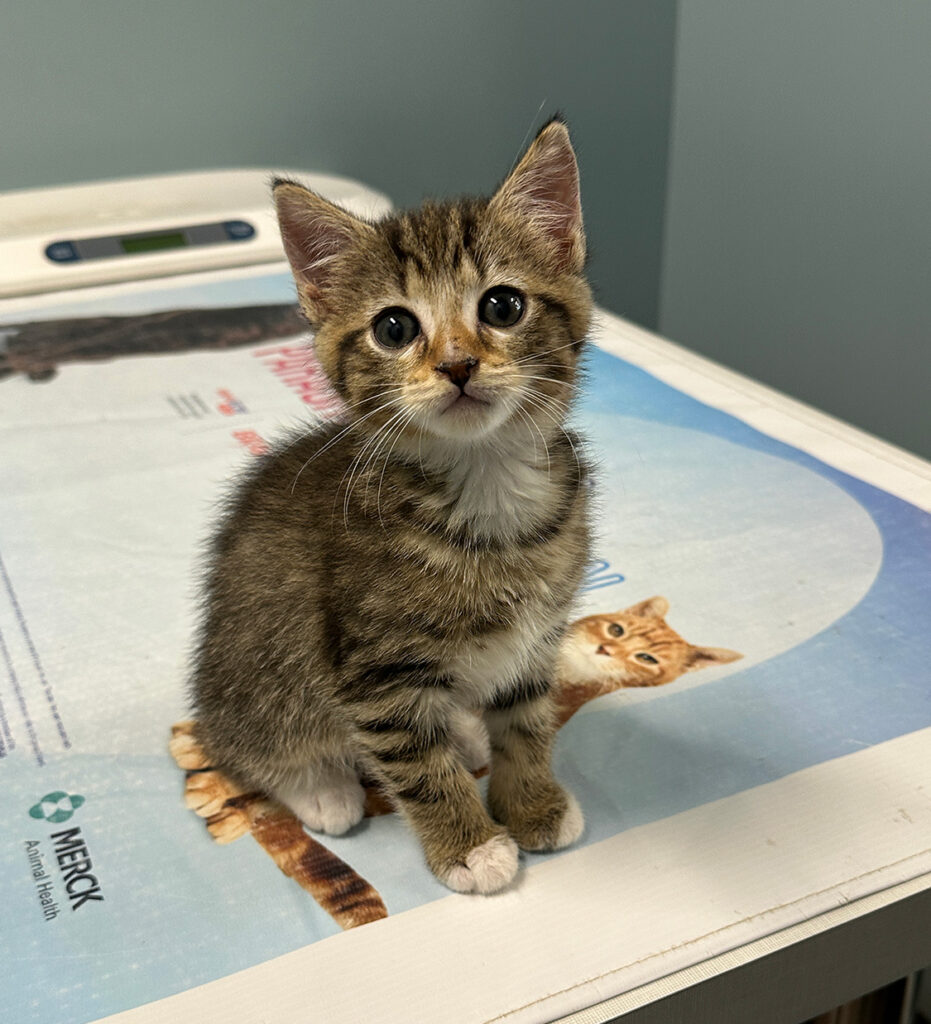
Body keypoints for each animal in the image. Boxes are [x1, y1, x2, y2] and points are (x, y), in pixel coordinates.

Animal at [191, 116, 594, 892]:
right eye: (395, 328)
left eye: (502, 305)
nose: (458, 364)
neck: (484, 490)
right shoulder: (373, 671)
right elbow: (417, 764)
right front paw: (470, 845)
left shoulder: (537, 633)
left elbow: (527, 722)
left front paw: (530, 802)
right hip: (258, 672)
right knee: (250, 746)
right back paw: (324, 789)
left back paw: (464, 731)